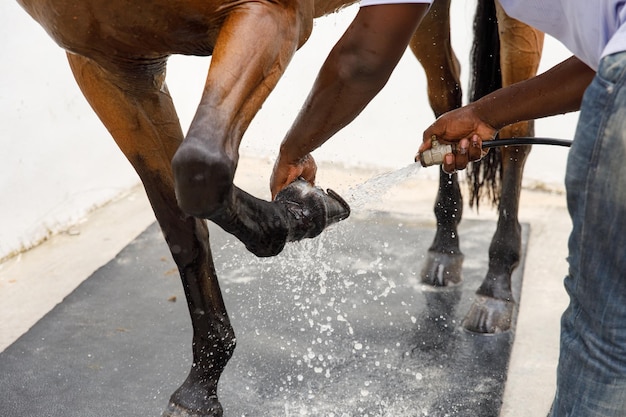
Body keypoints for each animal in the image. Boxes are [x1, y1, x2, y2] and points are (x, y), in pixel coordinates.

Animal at [15, 0, 540, 412]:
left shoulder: (270, 15)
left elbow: (202, 166)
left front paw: (298, 215)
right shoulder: (110, 66)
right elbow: (182, 221)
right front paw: (200, 386)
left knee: (517, 130)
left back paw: (496, 285)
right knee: (447, 98)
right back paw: (445, 248)